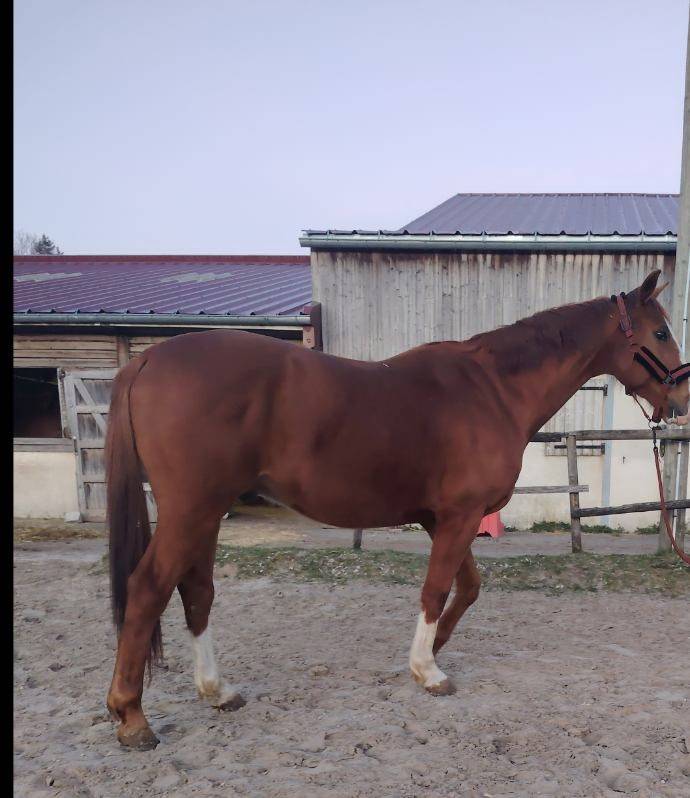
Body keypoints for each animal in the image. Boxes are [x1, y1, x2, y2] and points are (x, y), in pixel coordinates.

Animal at [104, 269, 688, 750]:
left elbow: (466, 587)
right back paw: (131, 716)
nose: (681, 402)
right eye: (660, 332)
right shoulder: (458, 516)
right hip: (190, 511)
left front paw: (436, 648)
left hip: (206, 513)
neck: (494, 390)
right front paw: (427, 670)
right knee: (149, 588)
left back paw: (217, 690)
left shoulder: (443, 518)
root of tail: (148, 360)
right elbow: (436, 589)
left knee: (196, 591)